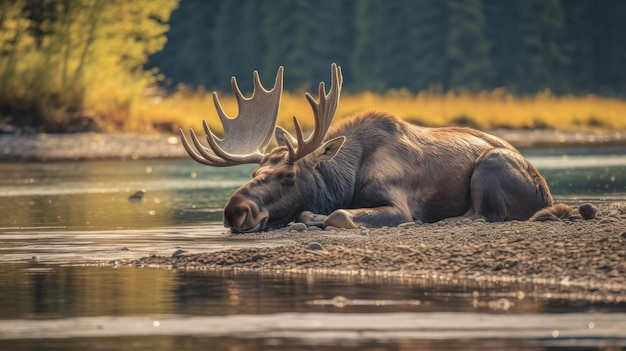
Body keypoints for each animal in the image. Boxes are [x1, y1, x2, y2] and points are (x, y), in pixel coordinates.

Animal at [178, 63, 588, 234]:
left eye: (289, 174)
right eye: (254, 172)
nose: (236, 210)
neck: (342, 181)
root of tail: (548, 196)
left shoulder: (398, 205)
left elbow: (340, 215)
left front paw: (315, 217)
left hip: (492, 163)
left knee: (486, 215)